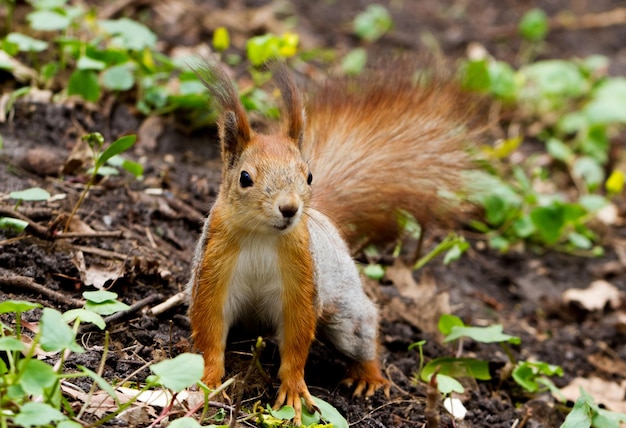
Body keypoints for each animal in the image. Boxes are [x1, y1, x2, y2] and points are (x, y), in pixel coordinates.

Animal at [185, 58, 482, 422]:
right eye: (245, 178)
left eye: (309, 176)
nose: (290, 208)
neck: (262, 235)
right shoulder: (214, 266)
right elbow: (210, 328)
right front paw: (209, 379)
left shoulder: (302, 277)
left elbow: (297, 338)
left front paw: (294, 388)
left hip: (346, 317)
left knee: (363, 335)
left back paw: (370, 376)